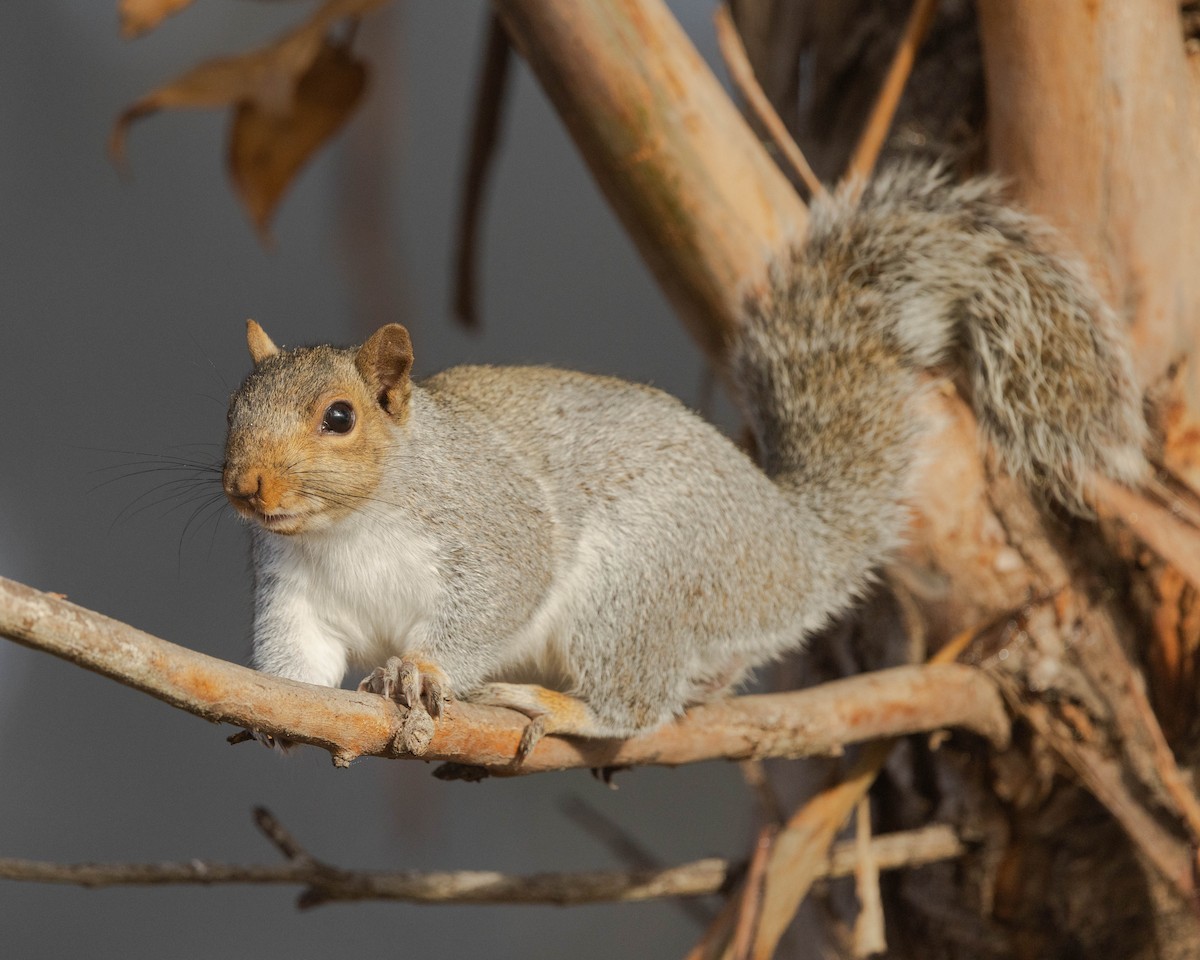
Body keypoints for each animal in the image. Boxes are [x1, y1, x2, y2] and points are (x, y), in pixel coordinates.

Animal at [222, 164, 1147, 758]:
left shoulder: (491, 521)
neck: (350, 526)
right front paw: (283, 706)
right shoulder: (295, 589)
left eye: (339, 418)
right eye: (231, 408)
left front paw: (422, 668)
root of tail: (791, 546)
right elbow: (298, 654)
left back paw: (552, 703)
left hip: (638, 583)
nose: (244, 487)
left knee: (638, 705)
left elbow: (504, 587)